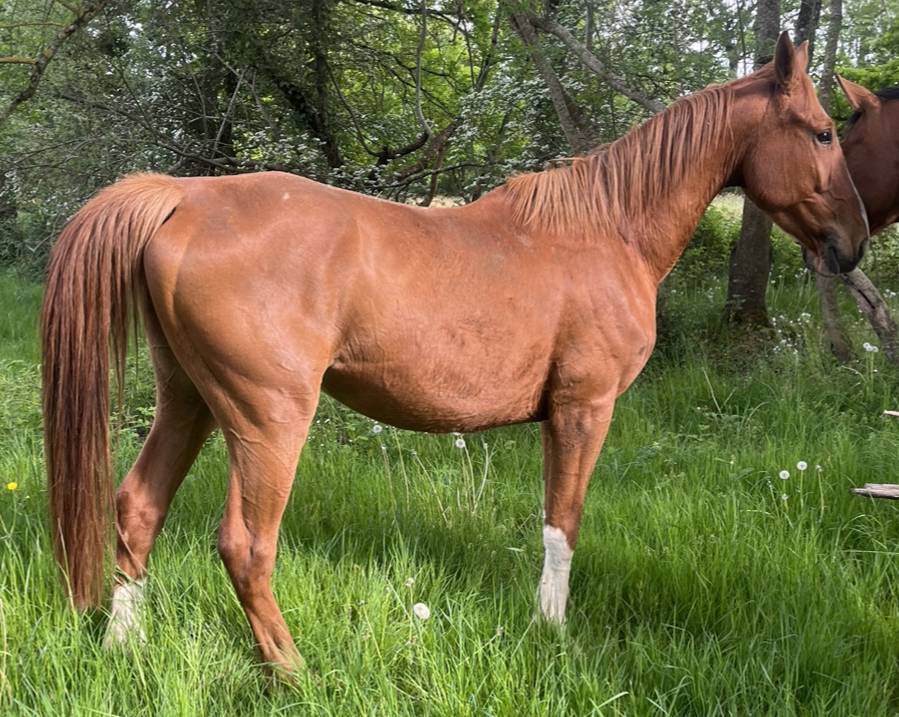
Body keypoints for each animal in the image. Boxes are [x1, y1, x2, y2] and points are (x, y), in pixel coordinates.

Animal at [41, 33, 868, 676]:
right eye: (823, 132)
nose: (853, 243)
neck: (608, 230)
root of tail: (185, 196)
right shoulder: (582, 409)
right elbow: (562, 523)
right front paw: (551, 630)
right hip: (267, 419)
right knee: (245, 544)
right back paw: (291, 666)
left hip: (189, 399)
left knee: (137, 507)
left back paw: (123, 645)